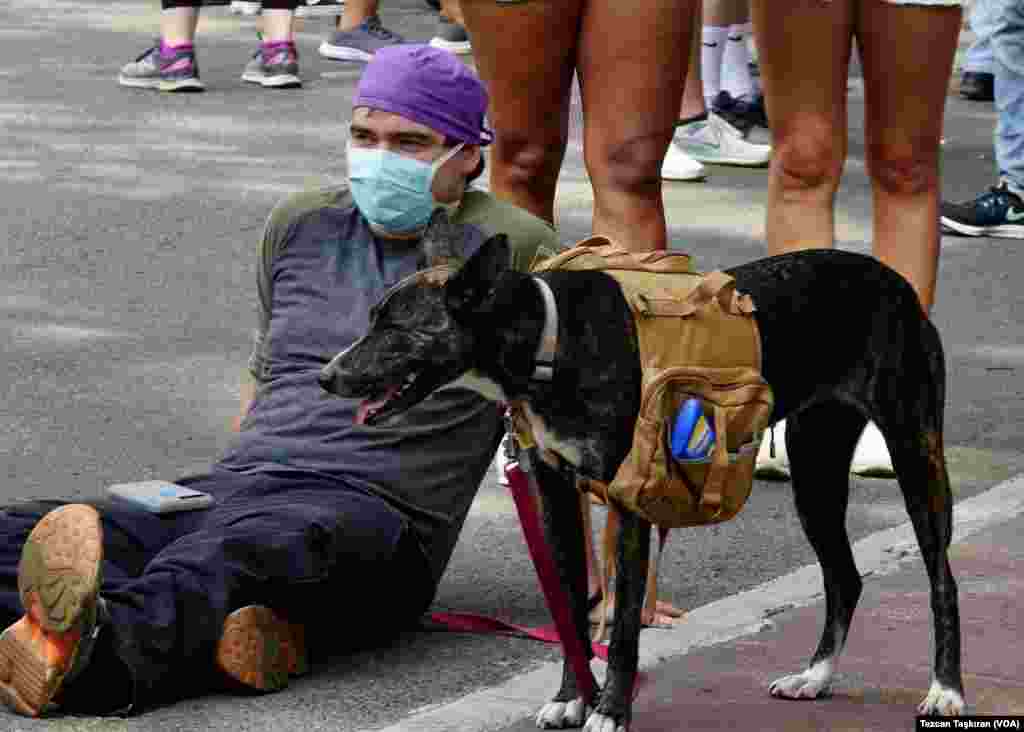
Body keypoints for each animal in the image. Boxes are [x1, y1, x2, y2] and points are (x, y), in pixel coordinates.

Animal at [317, 214, 958, 728]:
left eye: (397, 330)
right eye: (373, 320)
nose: (326, 377)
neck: (551, 342)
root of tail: (894, 280)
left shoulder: (628, 502)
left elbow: (624, 626)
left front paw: (610, 712)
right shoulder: (556, 496)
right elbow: (571, 613)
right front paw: (571, 699)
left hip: (914, 453)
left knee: (941, 578)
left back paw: (945, 690)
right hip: (816, 472)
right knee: (844, 577)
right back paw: (817, 676)